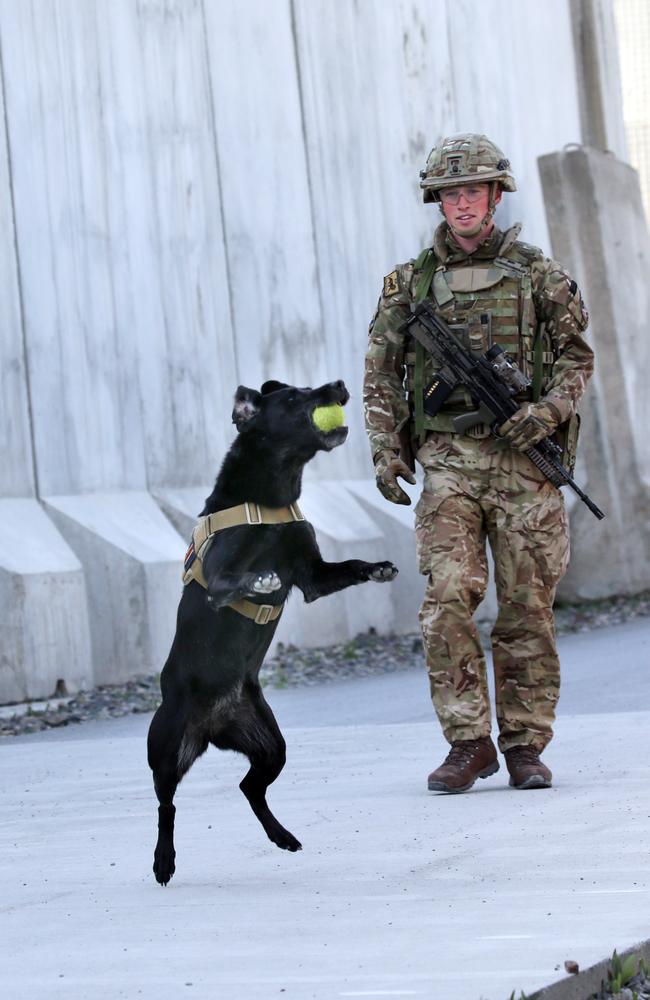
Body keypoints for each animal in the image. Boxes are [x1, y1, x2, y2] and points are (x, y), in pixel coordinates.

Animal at [147, 376, 398, 884]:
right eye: (294, 398)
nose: (338, 384)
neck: (272, 495)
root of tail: (212, 727)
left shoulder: (314, 577)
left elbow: (350, 565)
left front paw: (377, 567)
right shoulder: (218, 579)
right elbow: (233, 582)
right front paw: (261, 581)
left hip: (269, 744)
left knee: (249, 787)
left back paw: (282, 836)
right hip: (164, 747)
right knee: (167, 804)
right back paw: (164, 860)